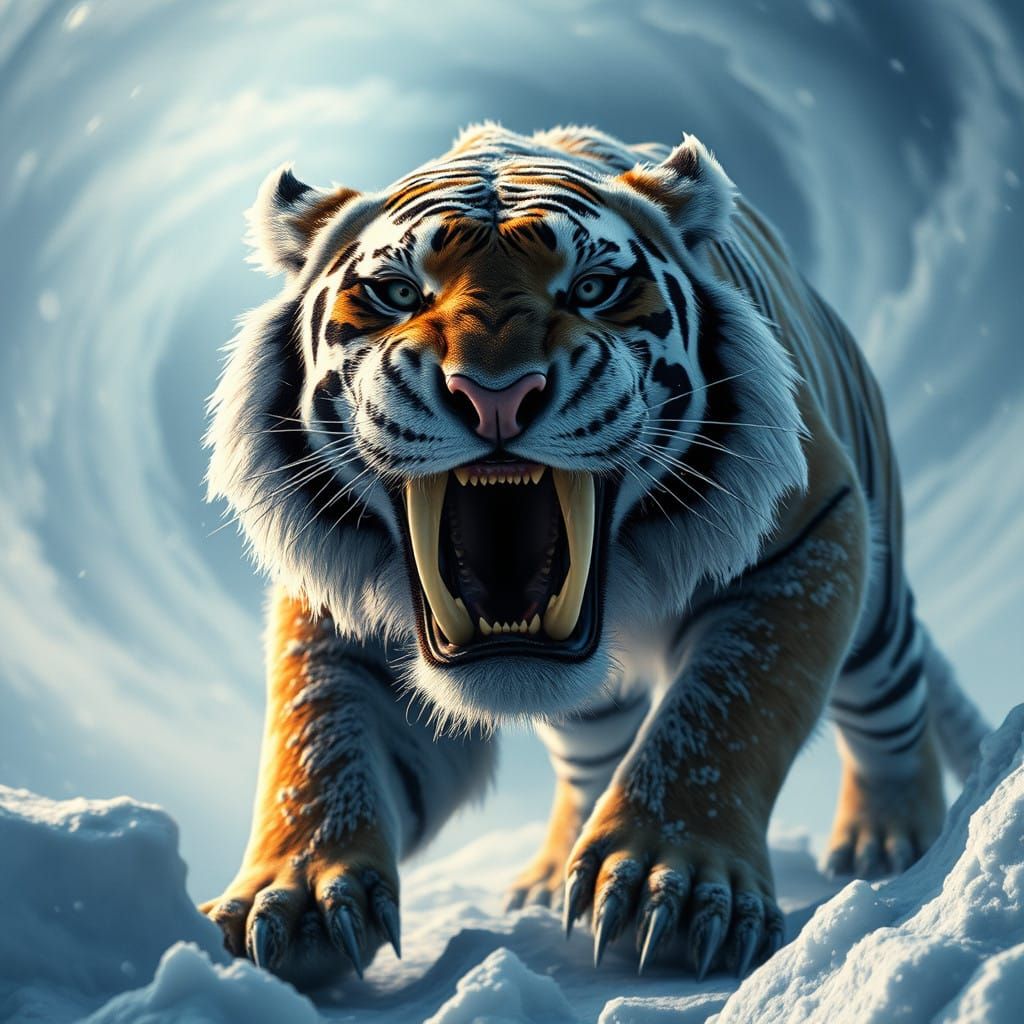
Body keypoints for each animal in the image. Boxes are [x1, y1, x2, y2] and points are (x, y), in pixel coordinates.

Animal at [201, 123, 988, 987]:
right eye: (399, 293)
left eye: (593, 288)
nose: (496, 395)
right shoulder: (336, 606)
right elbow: (317, 736)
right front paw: (301, 898)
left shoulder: (808, 531)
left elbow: (727, 708)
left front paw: (669, 883)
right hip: (590, 712)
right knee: (589, 758)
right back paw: (552, 876)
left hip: (877, 613)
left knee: (893, 706)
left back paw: (888, 840)